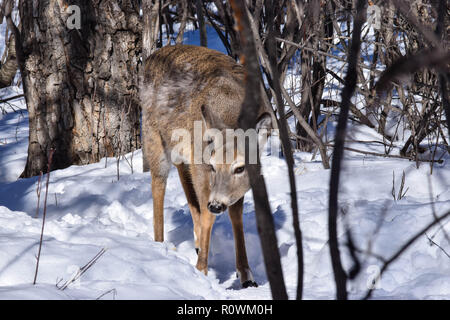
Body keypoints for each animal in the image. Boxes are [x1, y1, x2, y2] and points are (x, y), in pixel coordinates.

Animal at [140, 44, 270, 288]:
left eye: (240, 168)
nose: (216, 205)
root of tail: (153, 55)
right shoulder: (200, 164)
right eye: (213, 166)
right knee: (158, 185)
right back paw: (160, 245)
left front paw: (246, 275)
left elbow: (236, 214)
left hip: (181, 151)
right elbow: (208, 214)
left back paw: (197, 242)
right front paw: (201, 270)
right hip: (154, 135)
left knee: (187, 188)